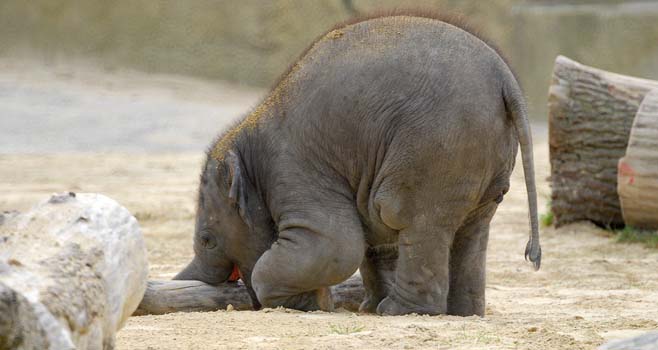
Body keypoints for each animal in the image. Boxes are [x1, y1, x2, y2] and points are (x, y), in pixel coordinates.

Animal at [174, 13, 540, 318]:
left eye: (207, 240)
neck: (247, 131)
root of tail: (505, 78)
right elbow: (367, 241)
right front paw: (340, 303)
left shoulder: (292, 168)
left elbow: (336, 243)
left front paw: (310, 304)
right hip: (482, 156)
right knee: (472, 227)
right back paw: (460, 313)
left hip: (437, 148)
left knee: (410, 216)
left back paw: (400, 311)